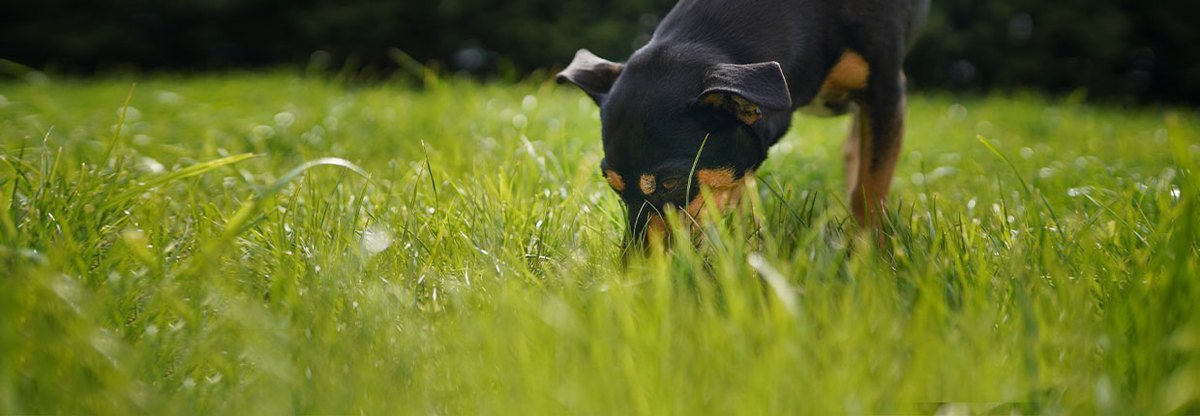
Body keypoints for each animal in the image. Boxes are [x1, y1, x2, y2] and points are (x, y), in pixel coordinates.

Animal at [556, 0, 931, 248]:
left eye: (671, 183)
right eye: (613, 186)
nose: (636, 272)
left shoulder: (886, 90)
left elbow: (870, 189)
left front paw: (868, 259)